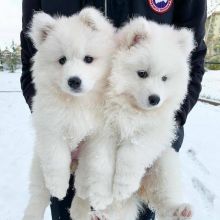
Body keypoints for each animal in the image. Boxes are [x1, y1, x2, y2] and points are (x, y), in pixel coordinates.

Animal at [22, 7, 115, 220]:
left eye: (88, 59)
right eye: (62, 60)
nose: (74, 80)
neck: (76, 103)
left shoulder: (99, 136)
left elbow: (99, 165)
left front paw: (99, 197)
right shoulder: (51, 130)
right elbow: (56, 160)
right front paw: (58, 187)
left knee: (81, 189)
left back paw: (79, 209)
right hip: (38, 163)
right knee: (38, 194)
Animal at [73, 17, 194, 220]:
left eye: (164, 78)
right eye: (142, 73)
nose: (155, 99)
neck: (131, 108)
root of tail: (140, 191)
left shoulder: (152, 132)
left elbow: (132, 154)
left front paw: (123, 185)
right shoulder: (103, 131)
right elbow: (102, 163)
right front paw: (105, 192)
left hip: (164, 164)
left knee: (164, 197)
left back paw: (180, 210)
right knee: (117, 208)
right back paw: (101, 214)